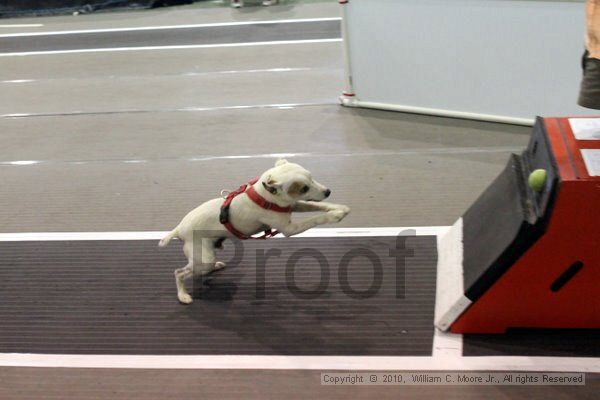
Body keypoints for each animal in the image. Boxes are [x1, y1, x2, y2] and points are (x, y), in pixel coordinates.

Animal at [159, 159, 350, 304]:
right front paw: (335, 215)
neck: (265, 197)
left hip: (205, 257)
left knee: (194, 268)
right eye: (304, 188)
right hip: (204, 259)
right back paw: (183, 295)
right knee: (179, 273)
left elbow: (318, 206)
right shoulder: (289, 228)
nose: (328, 191)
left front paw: (339, 208)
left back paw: (217, 266)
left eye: (312, 178)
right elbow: (315, 219)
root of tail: (178, 229)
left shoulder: (293, 205)